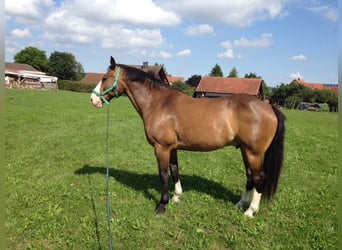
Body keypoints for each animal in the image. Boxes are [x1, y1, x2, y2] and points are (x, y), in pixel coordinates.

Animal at [91, 56, 286, 217]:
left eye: (105, 78)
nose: (93, 100)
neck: (159, 104)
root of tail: (268, 107)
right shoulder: (172, 148)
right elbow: (174, 170)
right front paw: (176, 197)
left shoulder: (161, 148)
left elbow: (163, 174)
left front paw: (162, 205)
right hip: (245, 151)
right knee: (249, 176)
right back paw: (240, 204)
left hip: (253, 153)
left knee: (259, 178)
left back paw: (250, 211)